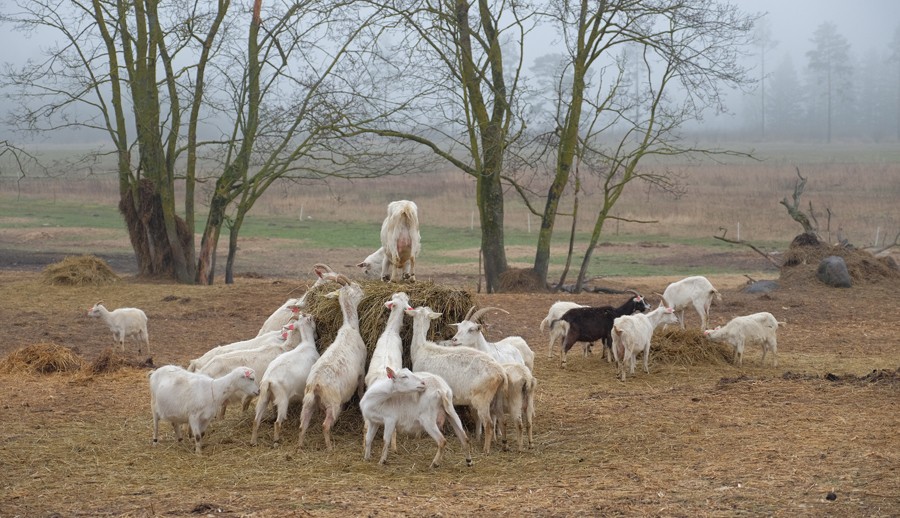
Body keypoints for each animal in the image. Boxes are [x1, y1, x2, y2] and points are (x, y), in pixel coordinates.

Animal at [251, 314, 322, 448]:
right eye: (311, 319)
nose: (313, 316)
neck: (306, 344)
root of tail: (268, 380)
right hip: (282, 399)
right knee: (277, 422)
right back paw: (276, 441)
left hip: (264, 397)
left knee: (256, 420)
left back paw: (253, 442)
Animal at [298, 274, 364, 452]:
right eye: (356, 287)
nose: (364, 292)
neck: (350, 327)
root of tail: (315, 384)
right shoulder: (362, 370)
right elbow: (361, 390)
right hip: (332, 403)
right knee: (325, 425)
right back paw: (329, 447)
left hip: (308, 402)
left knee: (303, 424)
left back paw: (300, 445)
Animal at [406, 306, 506, 458]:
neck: (422, 348)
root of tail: (500, 372)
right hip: (496, 397)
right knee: (500, 419)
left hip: (482, 399)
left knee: (488, 424)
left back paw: (486, 450)